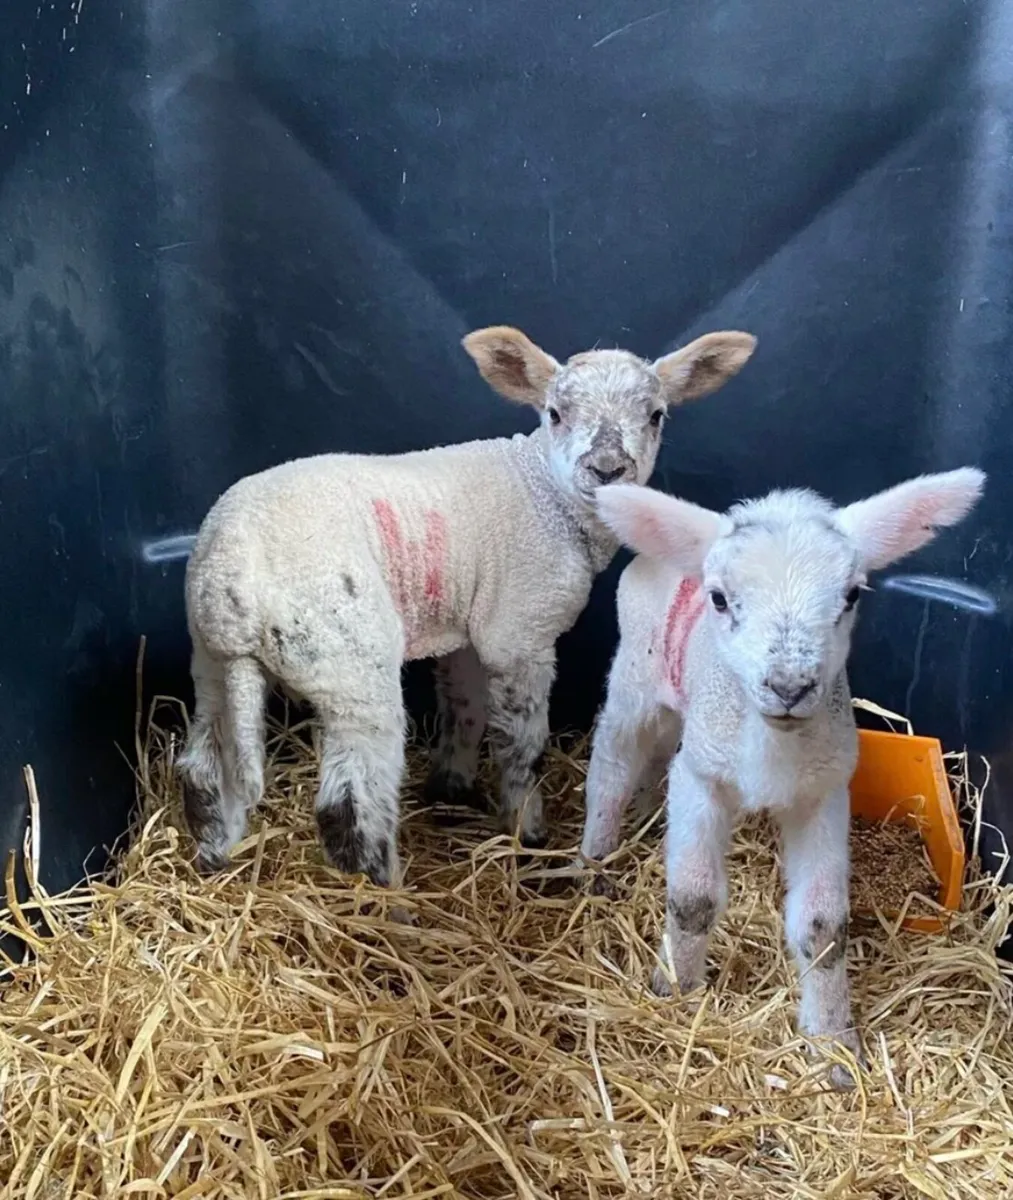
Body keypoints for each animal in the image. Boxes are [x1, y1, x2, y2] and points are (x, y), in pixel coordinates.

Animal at [176, 324, 758, 890]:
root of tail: (231, 584)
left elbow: (465, 709)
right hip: (347, 658)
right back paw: (390, 898)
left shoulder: (469, 627)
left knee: (201, 769)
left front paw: (451, 788)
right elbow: (521, 744)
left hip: (210, 662)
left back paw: (212, 860)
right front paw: (528, 829)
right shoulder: (520, 631)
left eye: (656, 415)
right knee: (351, 806)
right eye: (555, 413)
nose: (608, 468)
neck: (543, 490)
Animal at [578, 467, 986, 1088]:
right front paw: (677, 988)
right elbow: (693, 898)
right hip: (635, 676)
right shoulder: (703, 775)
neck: (772, 748)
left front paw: (834, 1046)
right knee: (614, 763)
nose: (789, 686)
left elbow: (822, 929)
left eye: (851, 595)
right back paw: (596, 855)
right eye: (719, 598)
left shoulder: (824, 792)